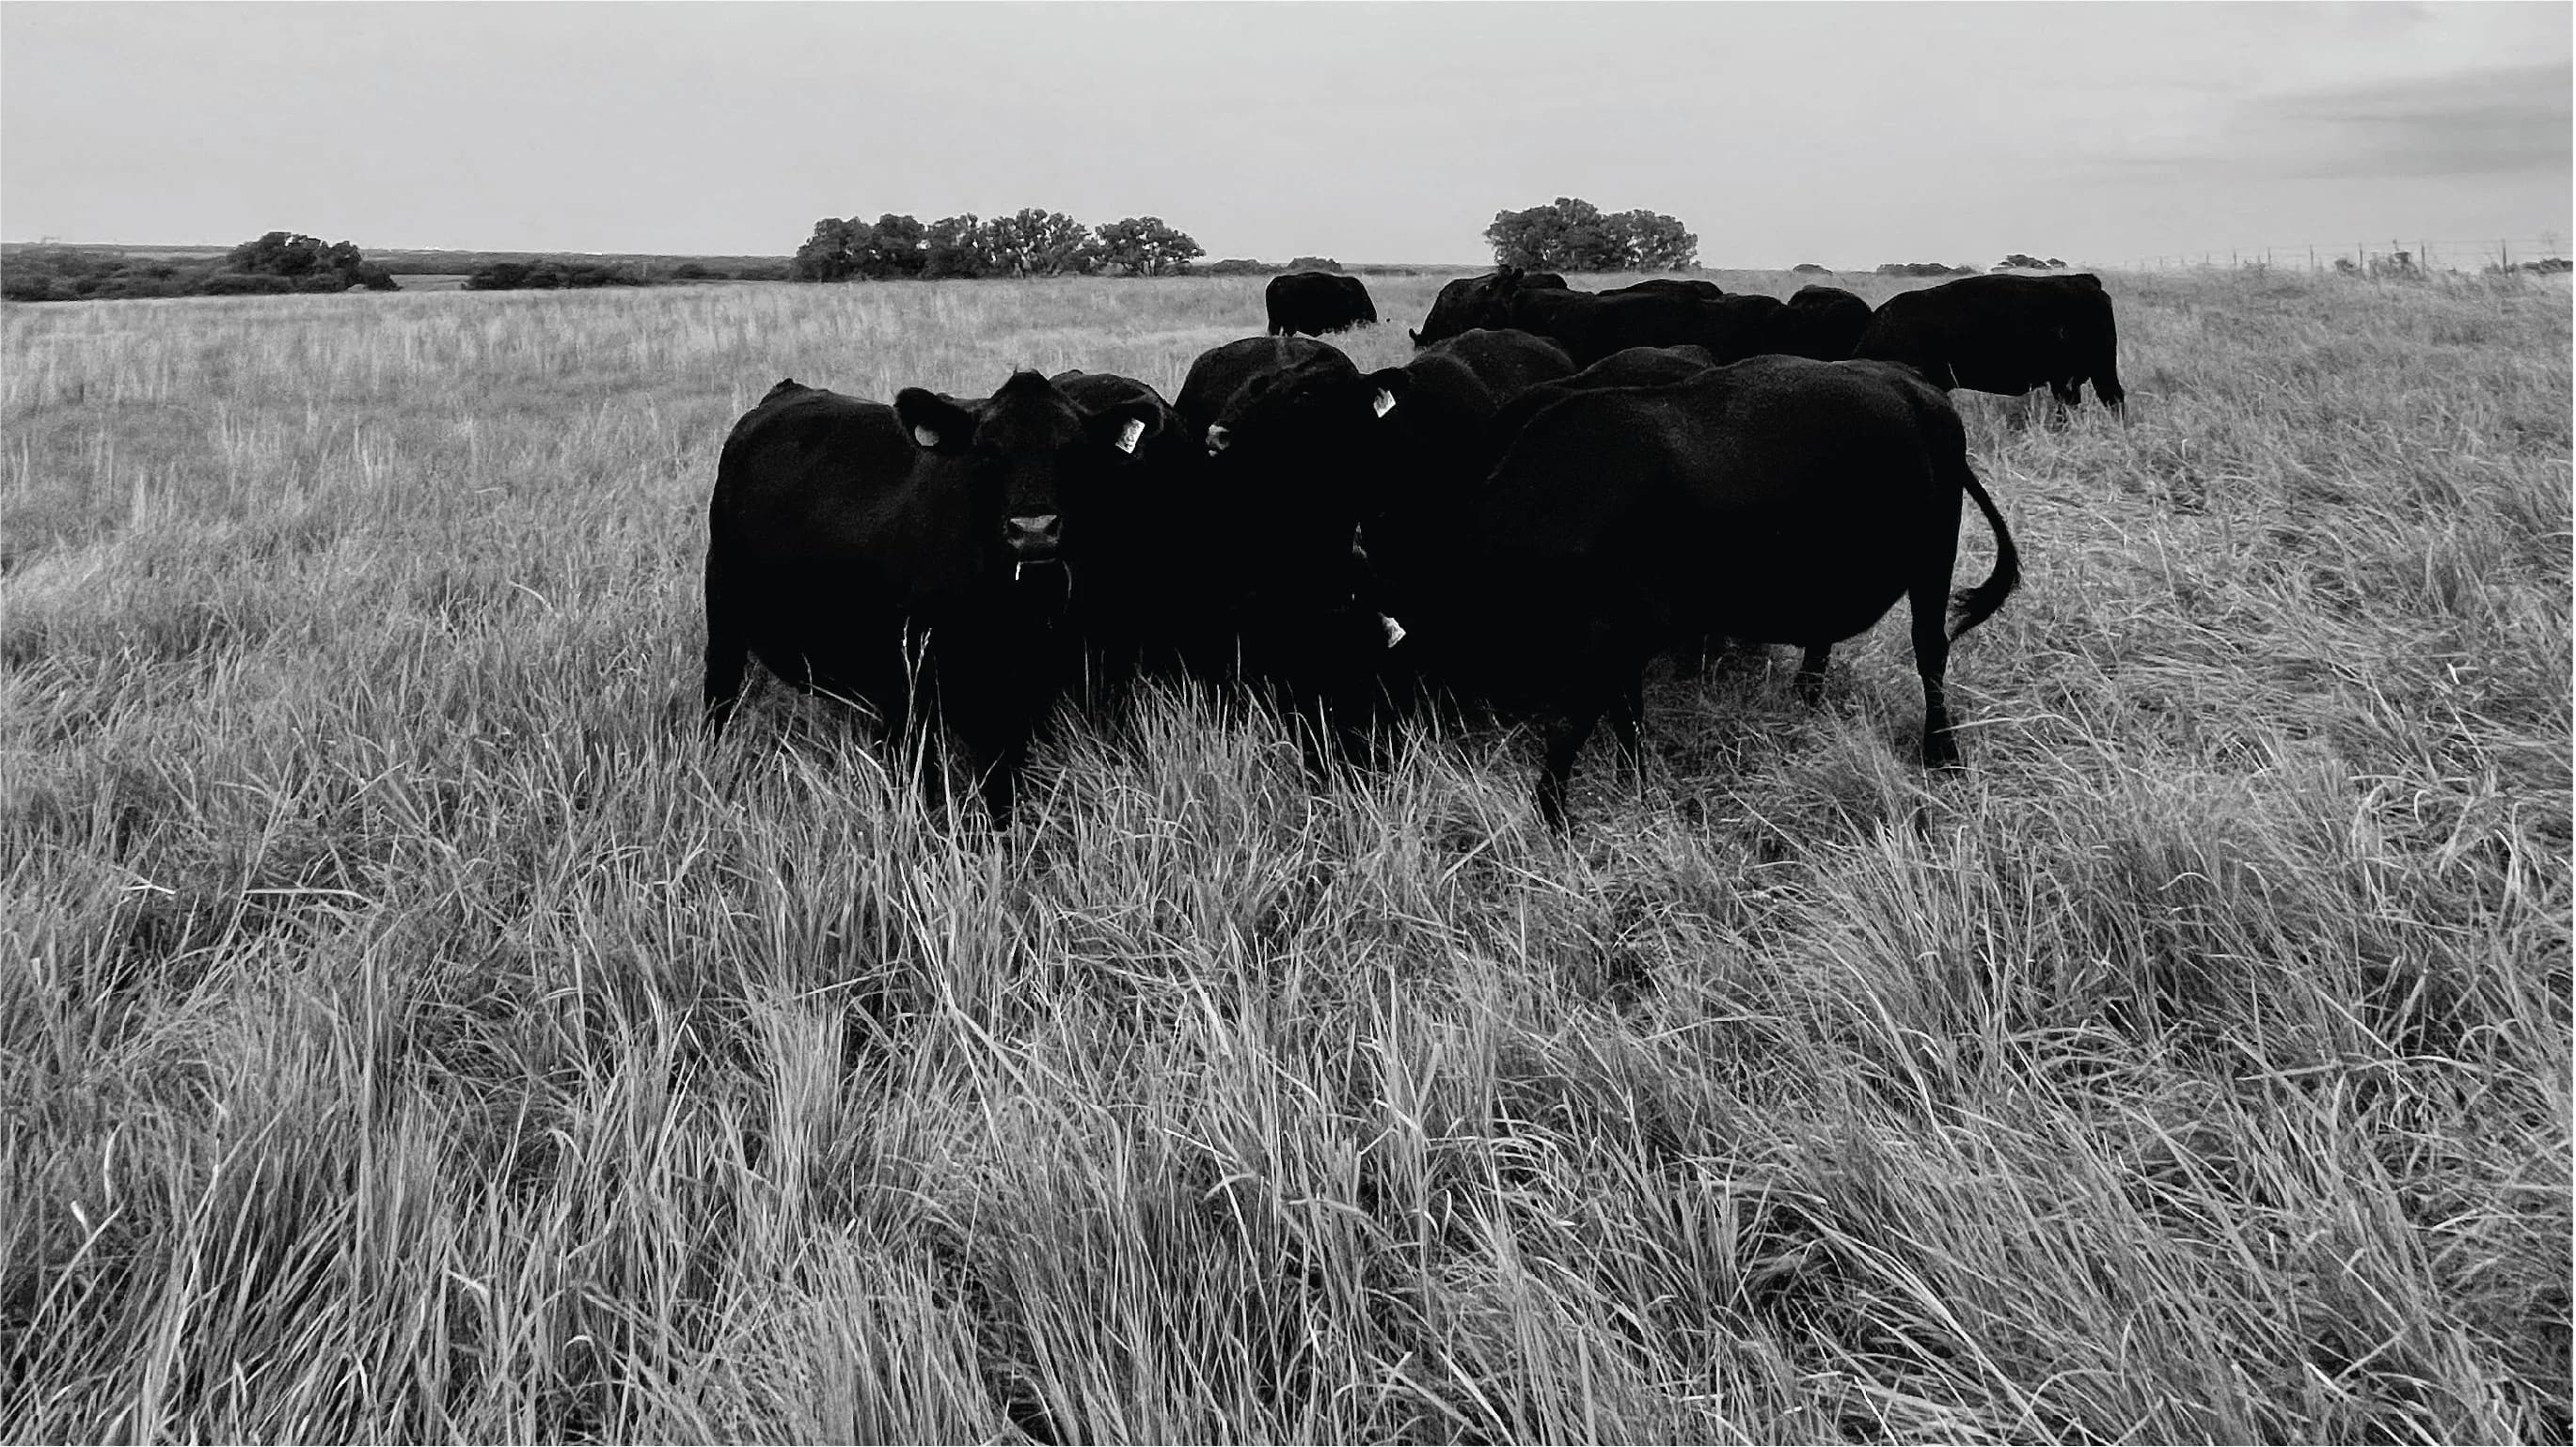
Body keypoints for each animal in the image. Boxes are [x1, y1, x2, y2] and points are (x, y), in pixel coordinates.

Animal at [701, 371, 1160, 821]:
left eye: (1073, 451)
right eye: (987, 453)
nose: (1034, 529)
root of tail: (785, 391)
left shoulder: (1019, 699)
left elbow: (1001, 789)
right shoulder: (906, 689)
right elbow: (920, 785)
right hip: (722, 619)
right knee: (718, 696)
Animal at [1362, 355, 2021, 831]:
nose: (1374, 755)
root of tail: (1917, 388)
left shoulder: (1608, 638)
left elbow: (1570, 725)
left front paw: (1551, 816)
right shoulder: (1619, 642)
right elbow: (1627, 718)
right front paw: (1632, 785)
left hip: (1933, 562)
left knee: (1930, 652)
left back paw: (1941, 749)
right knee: (1823, 645)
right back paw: (1807, 701)